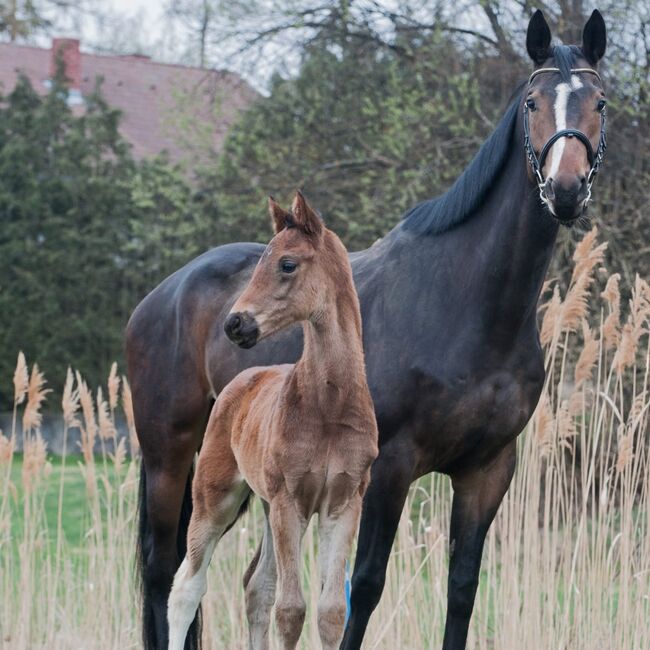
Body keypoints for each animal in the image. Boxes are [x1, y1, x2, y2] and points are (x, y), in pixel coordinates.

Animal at [167, 192, 378, 648]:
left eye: (287, 264)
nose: (235, 323)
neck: (330, 408)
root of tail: (239, 382)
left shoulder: (344, 504)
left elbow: (331, 612)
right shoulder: (289, 502)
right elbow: (291, 610)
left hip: (262, 505)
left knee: (255, 587)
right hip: (215, 500)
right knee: (187, 586)